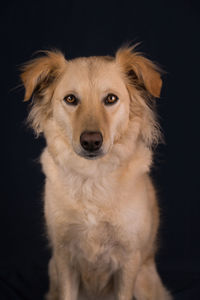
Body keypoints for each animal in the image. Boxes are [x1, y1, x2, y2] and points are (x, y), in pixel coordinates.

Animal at [21, 45, 173, 300]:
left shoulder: (129, 260)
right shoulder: (63, 257)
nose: (91, 141)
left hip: (144, 280)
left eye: (111, 99)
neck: (92, 178)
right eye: (70, 99)